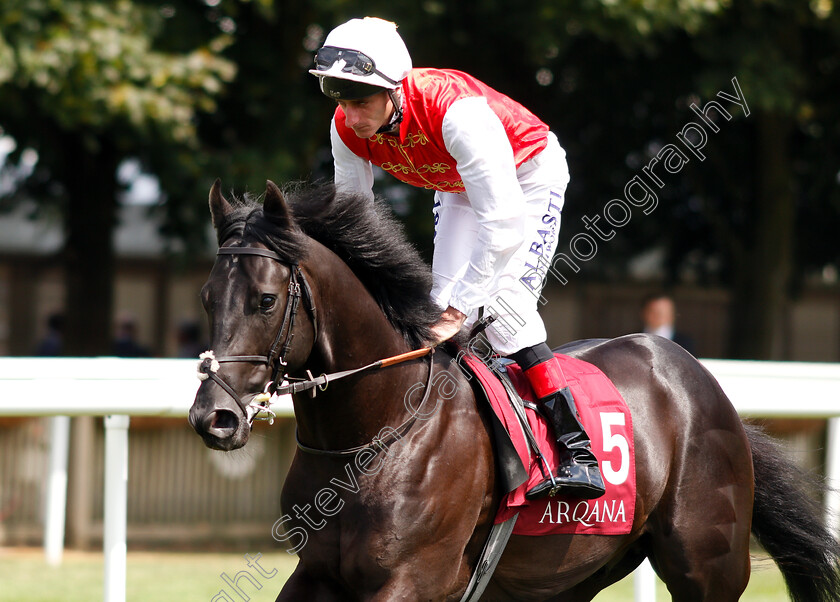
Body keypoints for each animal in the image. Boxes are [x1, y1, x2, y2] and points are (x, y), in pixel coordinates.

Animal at [190, 179, 840, 600]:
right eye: (207, 297)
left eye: (265, 300)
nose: (213, 417)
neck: (376, 431)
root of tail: (697, 377)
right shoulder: (317, 574)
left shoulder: (411, 578)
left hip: (709, 565)